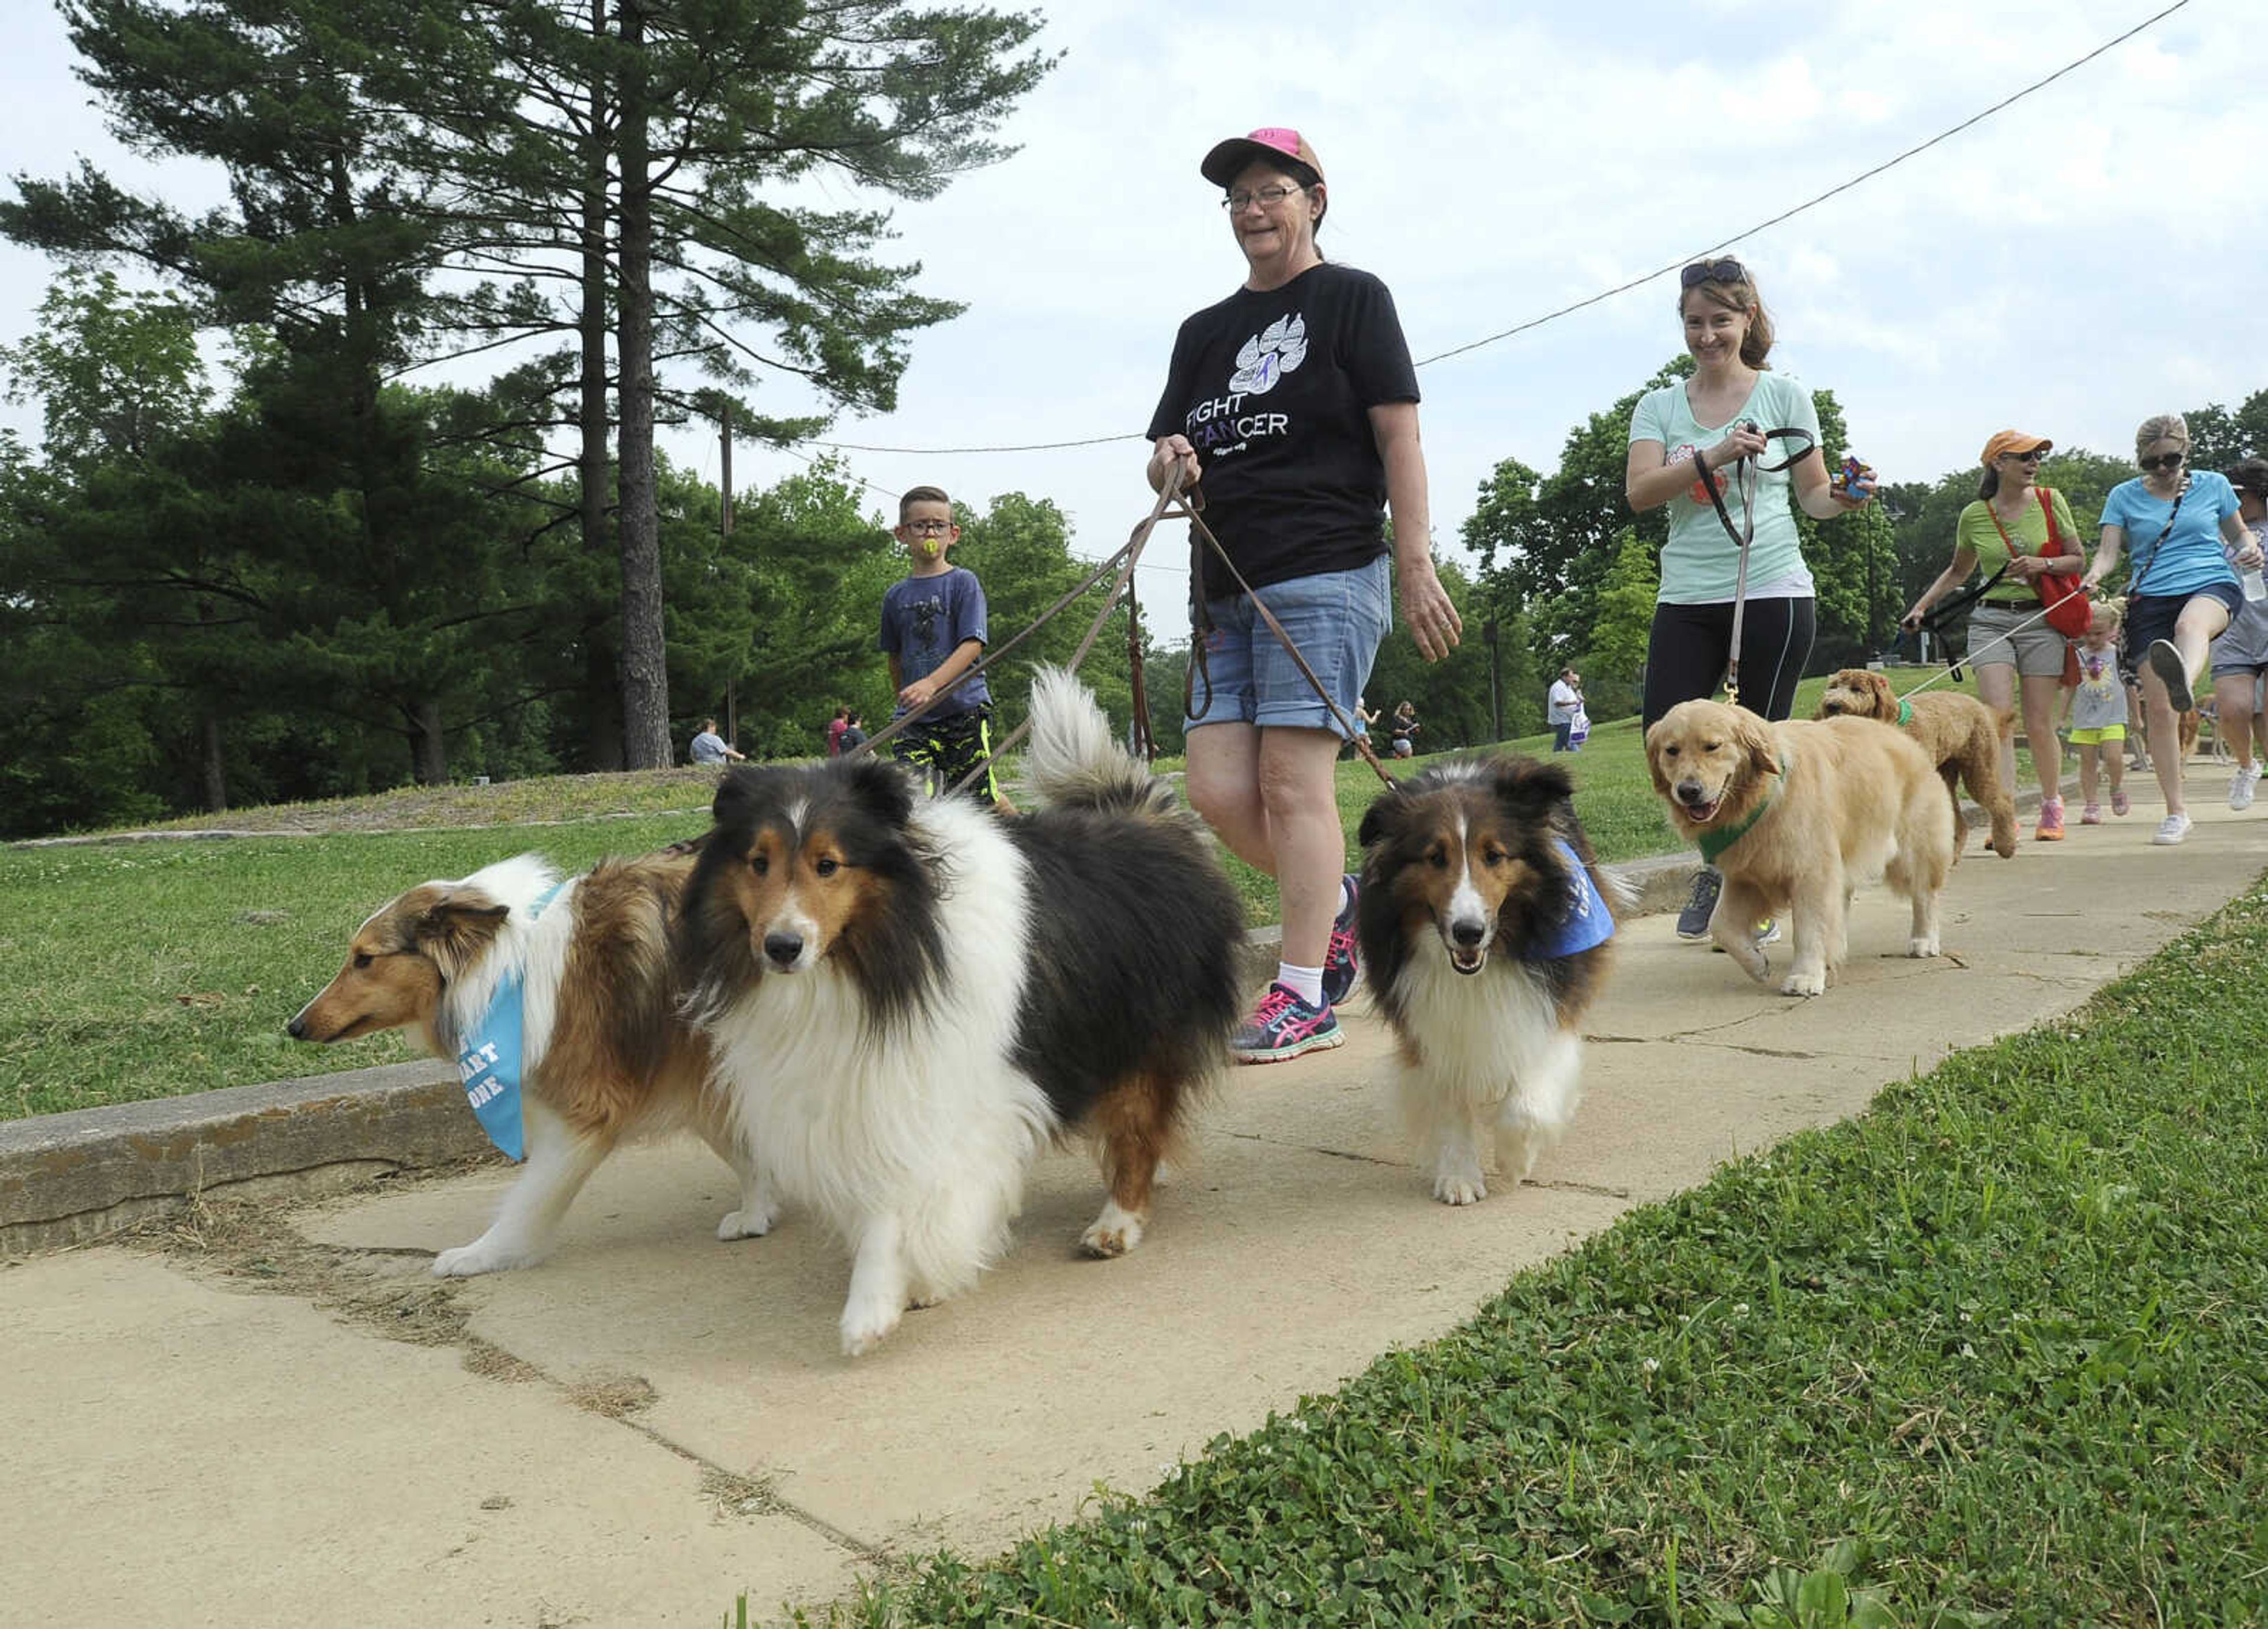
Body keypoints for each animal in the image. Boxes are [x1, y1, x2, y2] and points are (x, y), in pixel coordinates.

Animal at [288, 848, 771, 1279]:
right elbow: (742, 1147)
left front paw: (483, 1255)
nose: (295, 1026)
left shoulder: (586, 1114)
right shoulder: (700, 1073)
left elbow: (530, 1200)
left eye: (365, 959)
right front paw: (756, 1211)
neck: (507, 969)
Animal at [676, 672, 1243, 1361]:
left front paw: (873, 1306)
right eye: (757, 863)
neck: (886, 950)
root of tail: (1149, 813)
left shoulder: (937, 1087)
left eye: (828, 864)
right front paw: (912, 1283)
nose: (781, 947)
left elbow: (899, 1199)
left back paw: (1117, 1222)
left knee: (1137, 1127)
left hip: (1141, 1029)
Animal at [1351, 757, 1624, 1207]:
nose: (1468, 932)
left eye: (1494, 855)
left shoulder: (1548, 1007)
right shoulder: (1428, 1023)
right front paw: (1459, 1175)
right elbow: (1449, 1100)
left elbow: (1526, 1105)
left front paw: (1514, 1162)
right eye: (1435, 857)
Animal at [1805, 672, 2023, 862]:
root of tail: (1979, 705)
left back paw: (2006, 846)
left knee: (2001, 802)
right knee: (1957, 819)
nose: (1832, 705)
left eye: (1856, 689)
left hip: (1979, 767)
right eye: (1833, 686)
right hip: (1946, 774)